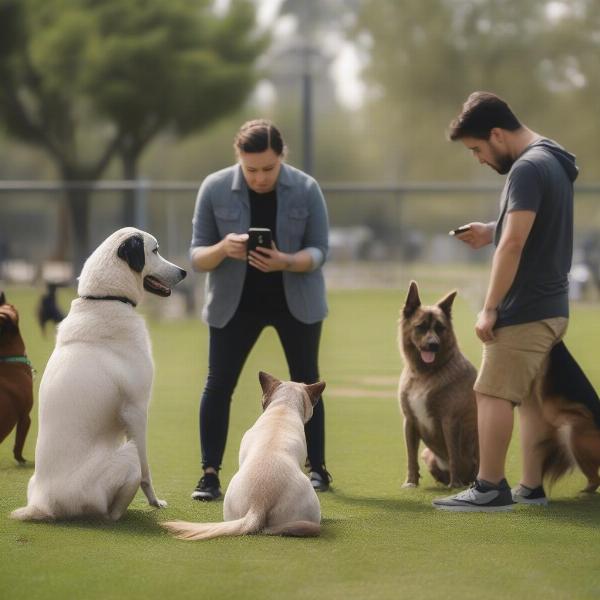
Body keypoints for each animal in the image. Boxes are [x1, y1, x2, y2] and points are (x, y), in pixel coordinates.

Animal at [11, 227, 185, 524]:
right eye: (155, 250)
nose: (184, 272)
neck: (107, 299)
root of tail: (41, 502)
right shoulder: (136, 411)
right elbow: (147, 471)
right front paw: (154, 501)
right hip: (127, 456)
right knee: (112, 507)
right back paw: (119, 515)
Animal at [398, 282, 478, 488]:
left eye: (440, 328)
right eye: (421, 327)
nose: (433, 345)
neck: (425, 374)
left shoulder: (450, 420)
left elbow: (453, 455)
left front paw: (454, 485)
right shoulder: (409, 421)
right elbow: (410, 457)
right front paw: (411, 483)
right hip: (427, 454)